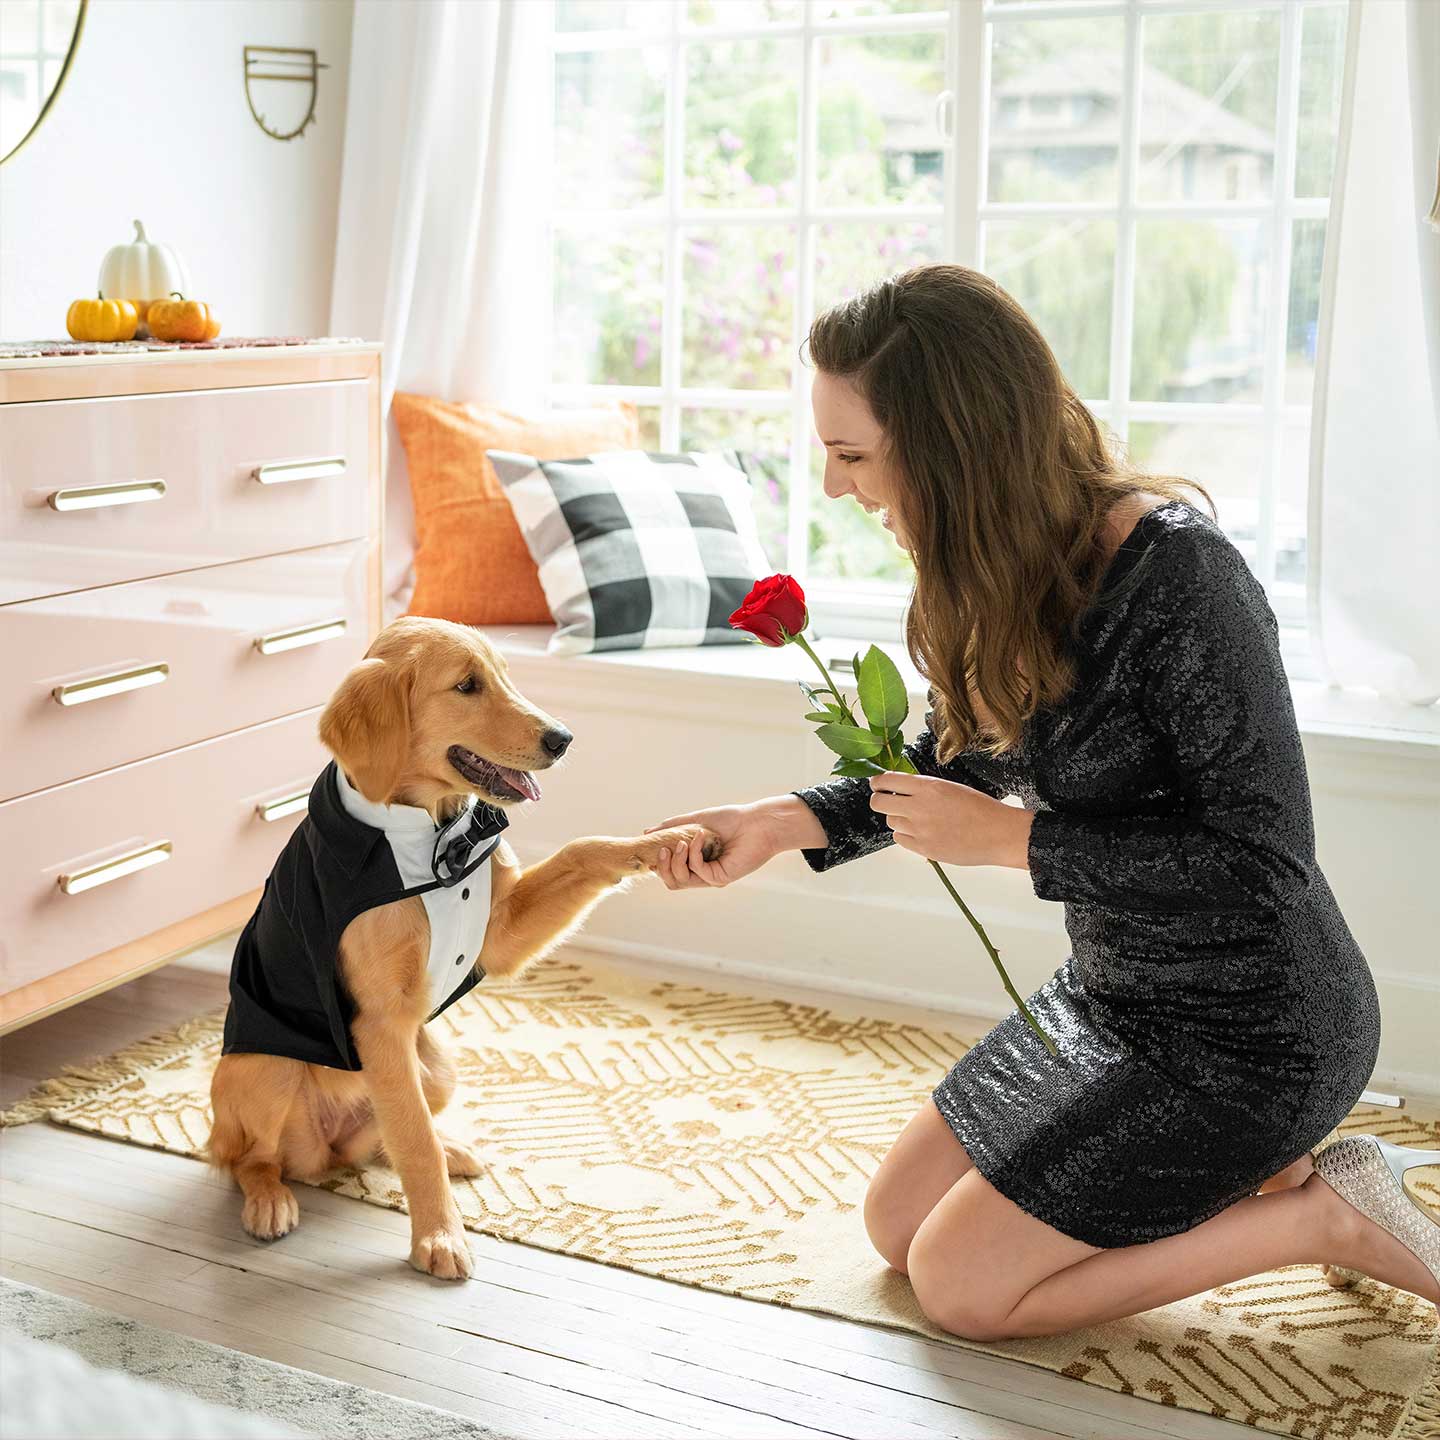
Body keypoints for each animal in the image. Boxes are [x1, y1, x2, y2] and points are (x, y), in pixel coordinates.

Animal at [207, 613, 714, 1278]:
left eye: (503, 676)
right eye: (467, 686)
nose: (564, 738)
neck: (434, 834)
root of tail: (322, 1152)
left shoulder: (497, 937)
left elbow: (584, 849)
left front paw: (669, 842)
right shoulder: (382, 1024)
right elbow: (413, 1141)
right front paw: (440, 1238)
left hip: (437, 1065)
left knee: (384, 1137)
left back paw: (450, 1151)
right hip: (267, 1070)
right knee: (250, 1158)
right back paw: (269, 1201)